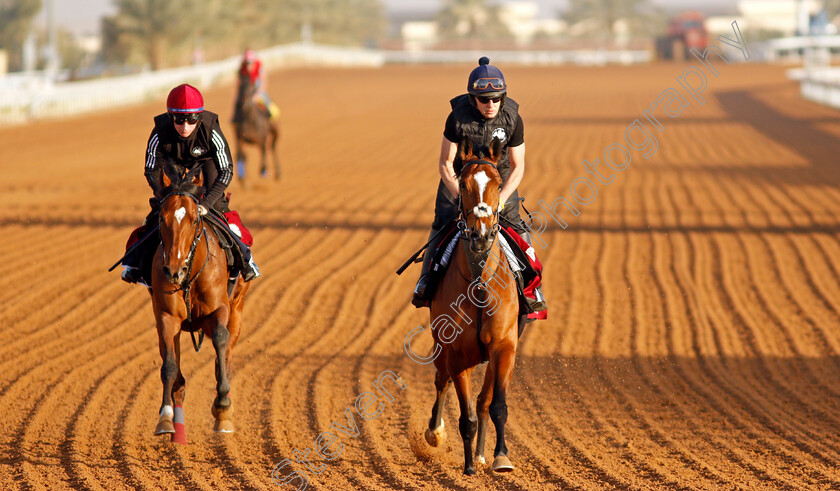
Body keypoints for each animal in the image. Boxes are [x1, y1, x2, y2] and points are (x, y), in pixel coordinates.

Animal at [151, 161, 249, 442]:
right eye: (162, 218)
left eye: (194, 219)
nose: (174, 270)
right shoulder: (166, 317)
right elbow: (169, 367)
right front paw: (165, 418)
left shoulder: (220, 309)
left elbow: (220, 340)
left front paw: (223, 407)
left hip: (237, 310)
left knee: (226, 355)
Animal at [424, 136, 520, 474]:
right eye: (463, 184)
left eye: (498, 183)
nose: (480, 234)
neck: (479, 283)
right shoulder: (455, 352)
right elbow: (464, 416)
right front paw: (467, 468)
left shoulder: (504, 346)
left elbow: (496, 405)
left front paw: (500, 457)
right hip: (442, 346)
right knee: (441, 381)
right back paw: (435, 433)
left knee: (483, 401)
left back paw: (481, 454)